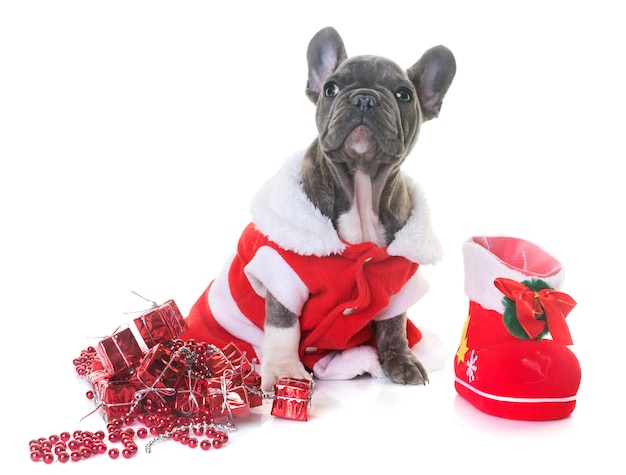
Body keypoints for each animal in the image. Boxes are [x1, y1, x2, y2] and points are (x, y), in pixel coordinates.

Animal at [180, 27, 454, 396]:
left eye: (403, 94)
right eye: (331, 88)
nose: (364, 98)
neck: (361, 190)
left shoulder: (397, 283)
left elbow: (394, 325)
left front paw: (402, 360)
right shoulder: (281, 272)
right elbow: (284, 326)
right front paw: (285, 373)